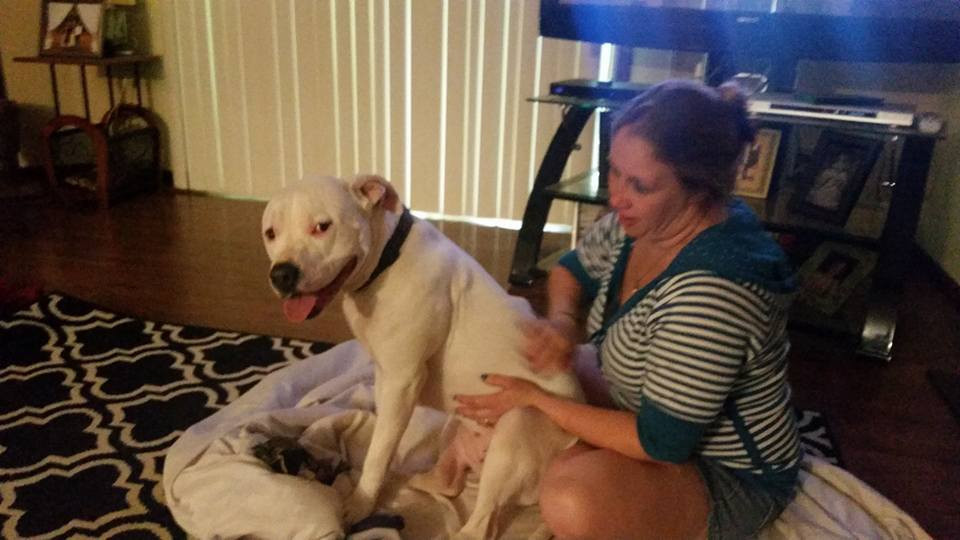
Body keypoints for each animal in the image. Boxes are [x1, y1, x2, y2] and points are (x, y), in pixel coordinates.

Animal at [262, 174, 583, 539]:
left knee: (481, 523)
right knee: (447, 484)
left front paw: (359, 504)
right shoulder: (387, 376)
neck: (387, 258)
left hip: (516, 427)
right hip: (454, 427)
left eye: (322, 226)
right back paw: (409, 478)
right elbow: (384, 437)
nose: (282, 274)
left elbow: (378, 452)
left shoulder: (402, 380)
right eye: (270, 233)